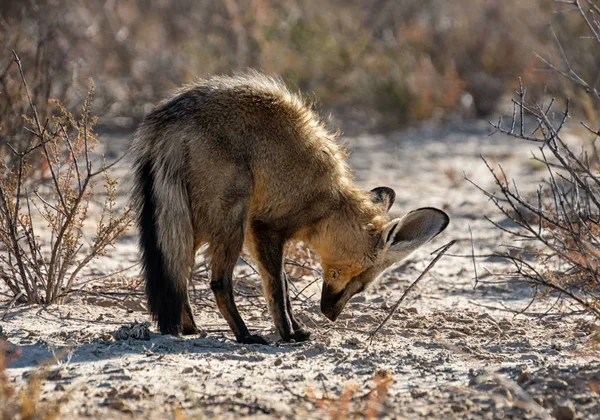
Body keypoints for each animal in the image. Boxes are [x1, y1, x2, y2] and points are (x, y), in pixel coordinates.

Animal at [131, 70, 450, 342]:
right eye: (361, 282)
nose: (331, 315)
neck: (329, 200)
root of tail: (169, 119)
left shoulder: (257, 232)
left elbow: (281, 286)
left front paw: (296, 327)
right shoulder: (265, 228)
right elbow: (279, 289)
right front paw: (288, 334)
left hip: (189, 225)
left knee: (178, 274)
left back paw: (189, 328)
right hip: (229, 222)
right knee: (218, 282)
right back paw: (245, 337)